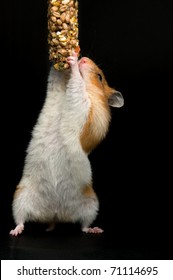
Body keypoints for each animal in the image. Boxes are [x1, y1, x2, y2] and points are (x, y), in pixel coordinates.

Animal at [9, 50, 123, 236]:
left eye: (99, 77)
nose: (84, 58)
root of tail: (55, 214)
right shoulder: (57, 89)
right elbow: (56, 78)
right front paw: (64, 59)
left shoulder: (85, 107)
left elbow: (76, 85)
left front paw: (73, 60)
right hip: (20, 198)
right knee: (21, 219)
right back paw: (16, 231)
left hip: (91, 204)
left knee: (83, 225)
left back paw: (95, 229)